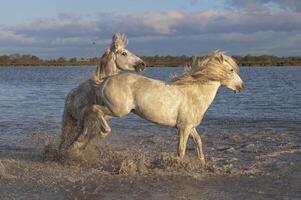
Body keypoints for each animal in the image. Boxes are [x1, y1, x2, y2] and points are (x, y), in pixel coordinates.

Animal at [71, 50, 243, 164]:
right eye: (231, 70)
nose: (241, 86)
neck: (194, 93)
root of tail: (106, 80)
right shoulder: (184, 128)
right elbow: (181, 150)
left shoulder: (190, 127)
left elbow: (198, 142)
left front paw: (202, 163)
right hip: (117, 110)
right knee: (94, 110)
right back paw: (95, 135)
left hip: (113, 110)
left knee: (90, 113)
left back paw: (79, 141)